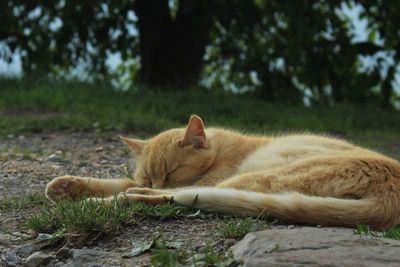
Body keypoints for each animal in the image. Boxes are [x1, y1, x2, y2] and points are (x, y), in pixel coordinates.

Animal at [45, 115, 400, 230]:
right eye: (150, 174)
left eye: (172, 171)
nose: (153, 183)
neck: (221, 149)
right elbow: (116, 180)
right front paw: (66, 185)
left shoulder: (204, 179)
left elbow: (127, 186)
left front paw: (84, 196)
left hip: (256, 178)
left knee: (169, 197)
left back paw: (104, 203)